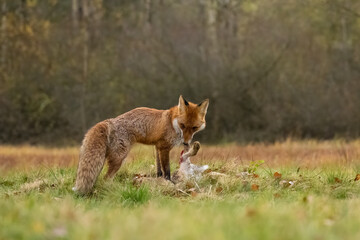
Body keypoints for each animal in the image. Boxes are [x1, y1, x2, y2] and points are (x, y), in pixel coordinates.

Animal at [73, 94, 208, 194]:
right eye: (183, 125)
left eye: (194, 127)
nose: (186, 142)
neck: (172, 122)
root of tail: (110, 121)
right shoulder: (164, 147)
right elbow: (167, 170)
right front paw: (169, 183)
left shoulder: (157, 146)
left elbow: (159, 170)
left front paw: (159, 182)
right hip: (119, 158)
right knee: (106, 178)